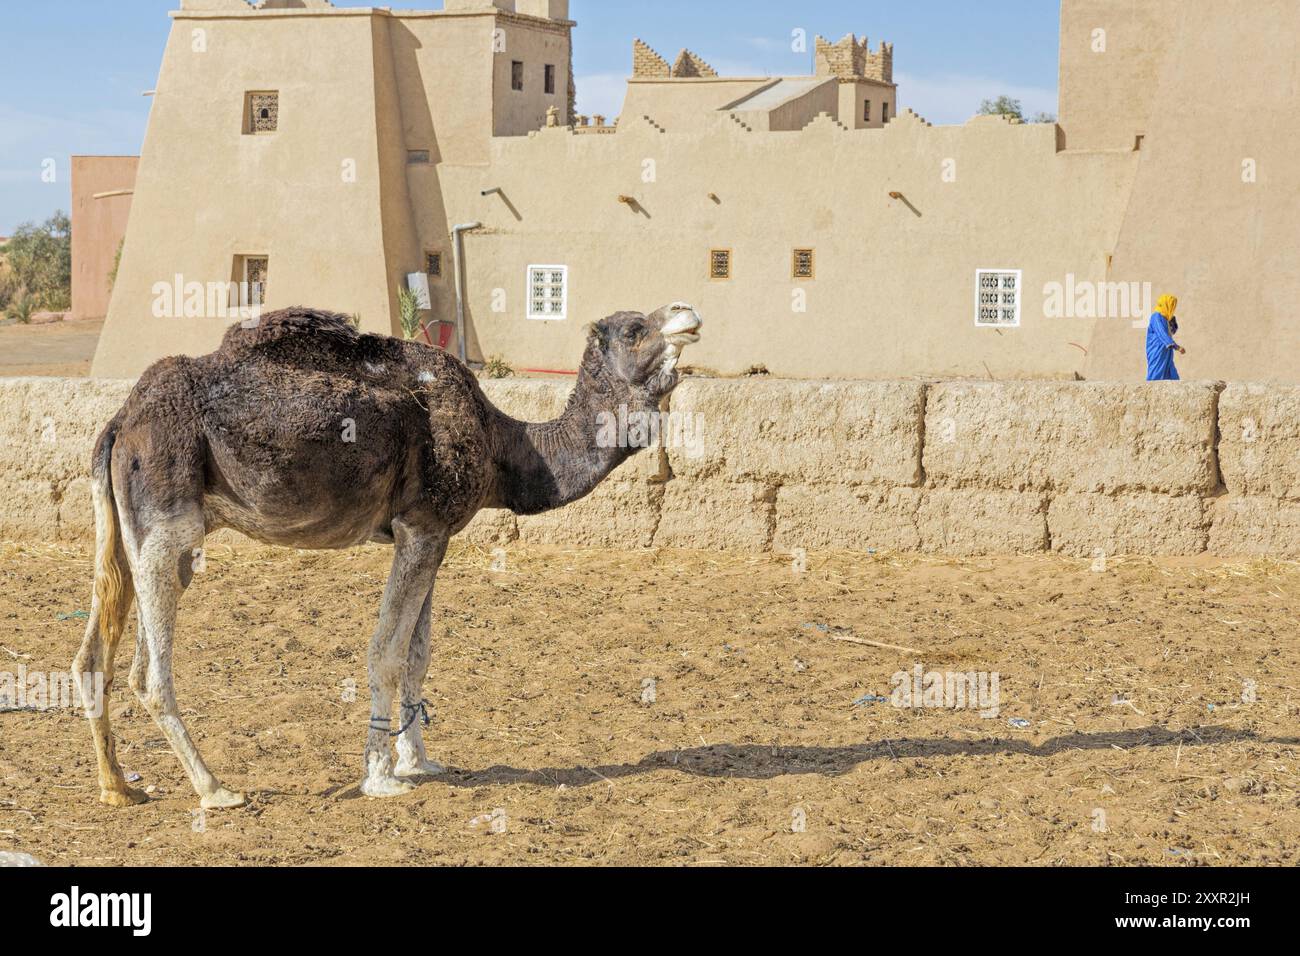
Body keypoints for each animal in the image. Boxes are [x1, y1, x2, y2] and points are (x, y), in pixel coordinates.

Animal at [71, 304, 702, 806]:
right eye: (634, 329)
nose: (687, 312)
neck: (506, 444)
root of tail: (120, 422)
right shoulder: (421, 525)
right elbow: (387, 653)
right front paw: (380, 777)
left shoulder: (433, 533)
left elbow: (419, 655)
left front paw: (419, 761)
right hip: (168, 522)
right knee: (149, 673)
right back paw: (214, 789)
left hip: (130, 530)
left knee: (94, 656)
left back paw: (118, 787)